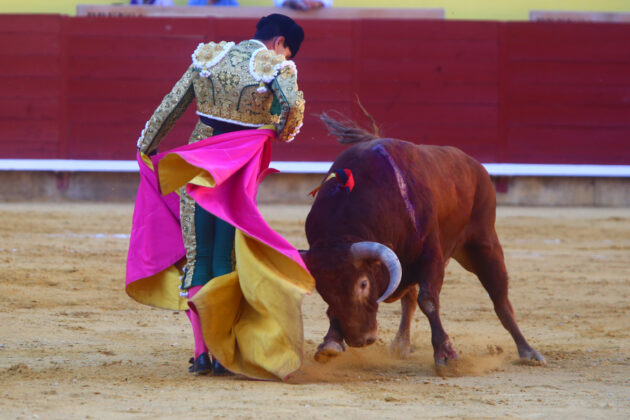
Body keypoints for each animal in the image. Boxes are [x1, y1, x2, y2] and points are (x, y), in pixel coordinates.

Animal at [304, 113, 544, 366]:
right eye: (323, 289)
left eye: (363, 284)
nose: (360, 339)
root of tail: (473, 164)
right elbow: (334, 309)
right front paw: (330, 343)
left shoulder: (431, 254)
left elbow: (428, 300)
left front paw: (446, 355)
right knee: (409, 300)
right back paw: (401, 344)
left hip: (483, 242)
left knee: (500, 297)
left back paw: (528, 351)